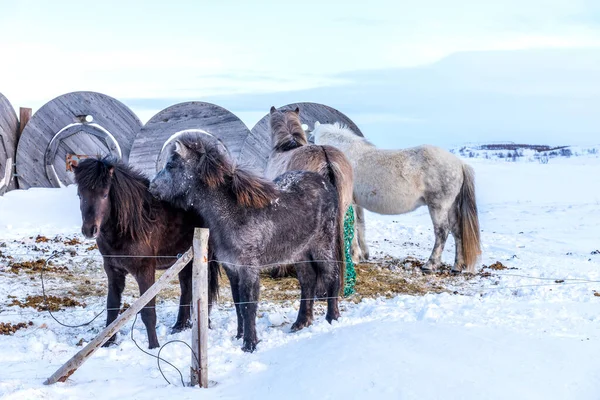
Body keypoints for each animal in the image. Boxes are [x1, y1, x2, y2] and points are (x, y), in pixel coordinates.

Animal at [72, 158, 219, 348]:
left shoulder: (145, 271)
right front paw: (107, 343)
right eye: (80, 195)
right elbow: (112, 307)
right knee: (187, 289)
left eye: (104, 194)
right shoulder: (113, 271)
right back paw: (179, 326)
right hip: (184, 261)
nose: (90, 230)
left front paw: (154, 346)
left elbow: (148, 311)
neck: (133, 224)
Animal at [149, 132, 344, 354]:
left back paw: (332, 318)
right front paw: (240, 336)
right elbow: (238, 303)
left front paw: (250, 344)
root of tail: (326, 184)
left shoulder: (248, 269)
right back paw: (301, 322)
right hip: (299, 253)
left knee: (331, 276)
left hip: (322, 247)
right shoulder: (232, 268)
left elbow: (249, 305)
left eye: (171, 165)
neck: (232, 213)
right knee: (308, 281)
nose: (152, 186)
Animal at [312, 120, 480, 274]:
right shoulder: (357, 203)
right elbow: (360, 226)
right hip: (450, 207)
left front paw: (353, 257)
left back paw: (430, 265)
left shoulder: (349, 203)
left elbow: (352, 227)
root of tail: (460, 163)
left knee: (442, 232)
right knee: (457, 232)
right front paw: (363, 255)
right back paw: (457, 267)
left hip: (438, 207)